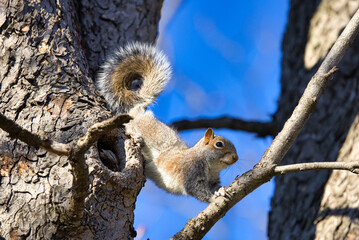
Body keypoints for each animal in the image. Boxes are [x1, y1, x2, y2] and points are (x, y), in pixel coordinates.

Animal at [97, 41, 239, 202]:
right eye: (219, 144)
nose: (236, 158)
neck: (210, 165)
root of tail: (137, 111)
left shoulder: (213, 180)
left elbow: (215, 186)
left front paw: (221, 190)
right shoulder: (190, 172)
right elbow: (198, 190)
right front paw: (214, 197)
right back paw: (137, 138)